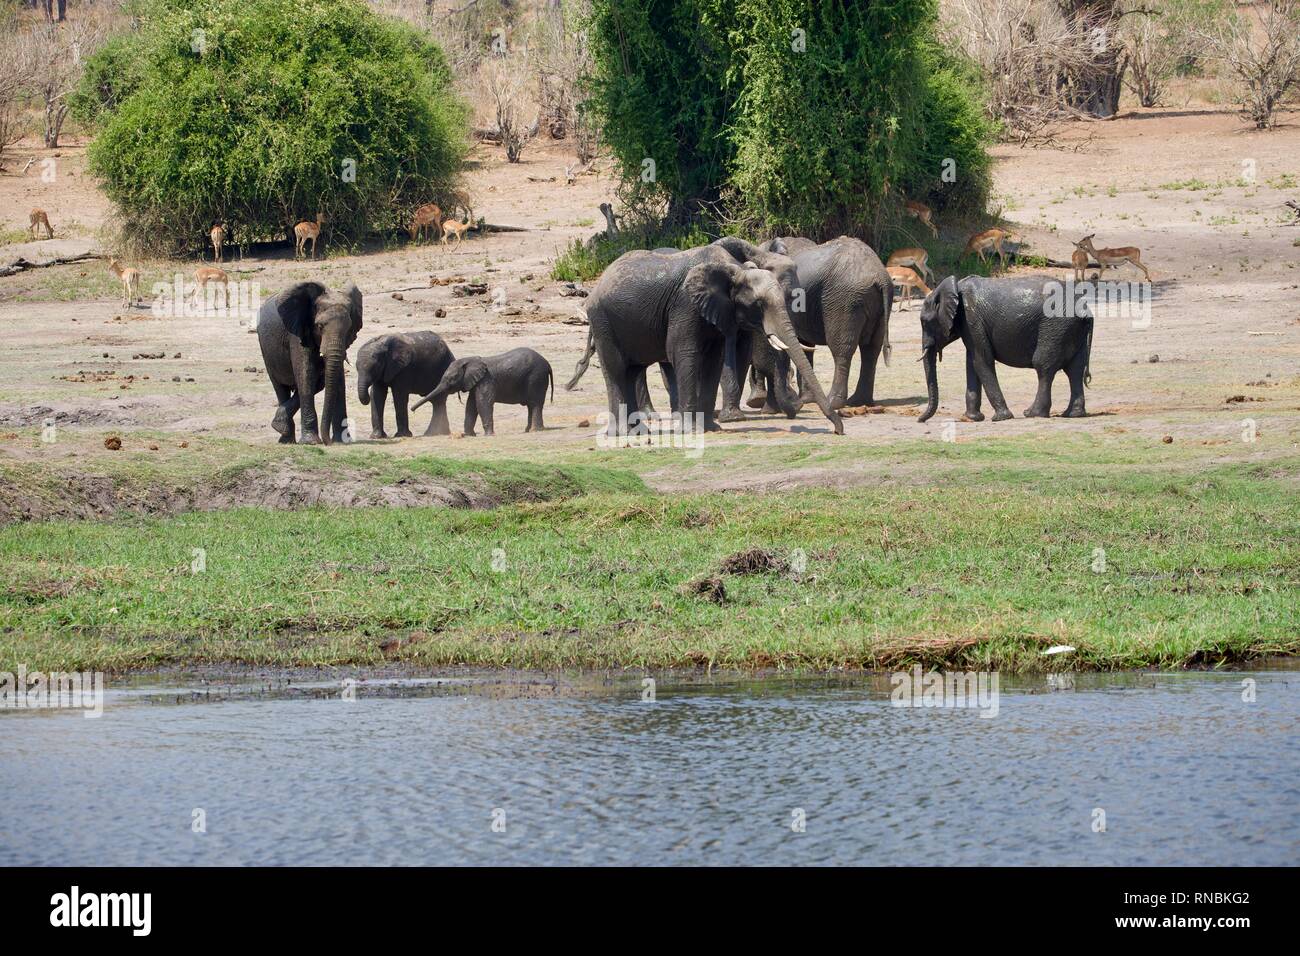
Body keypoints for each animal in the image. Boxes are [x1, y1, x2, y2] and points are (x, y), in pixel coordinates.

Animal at [257, 280, 364, 444]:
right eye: (319, 326)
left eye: (349, 329)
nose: (328, 442)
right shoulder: (297, 332)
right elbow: (306, 374)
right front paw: (311, 442)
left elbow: (337, 378)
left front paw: (342, 441)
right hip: (267, 352)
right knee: (280, 387)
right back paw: (285, 438)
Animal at [410, 348, 553, 437]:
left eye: (451, 379)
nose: (412, 409)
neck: (471, 360)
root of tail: (547, 363)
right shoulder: (475, 383)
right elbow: (471, 406)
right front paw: (468, 435)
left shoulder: (486, 380)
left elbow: (483, 403)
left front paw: (489, 435)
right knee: (531, 405)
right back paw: (528, 430)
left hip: (536, 377)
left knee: (535, 403)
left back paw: (535, 431)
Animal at [582, 244, 842, 434]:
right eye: (759, 305)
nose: (839, 430)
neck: (735, 269)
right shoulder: (685, 304)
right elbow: (683, 353)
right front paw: (691, 431)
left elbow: (714, 360)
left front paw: (710, 428)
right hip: (602, 320)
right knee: (616, 369)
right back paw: (623, 433)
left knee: (632, 370)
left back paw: (640, 431)